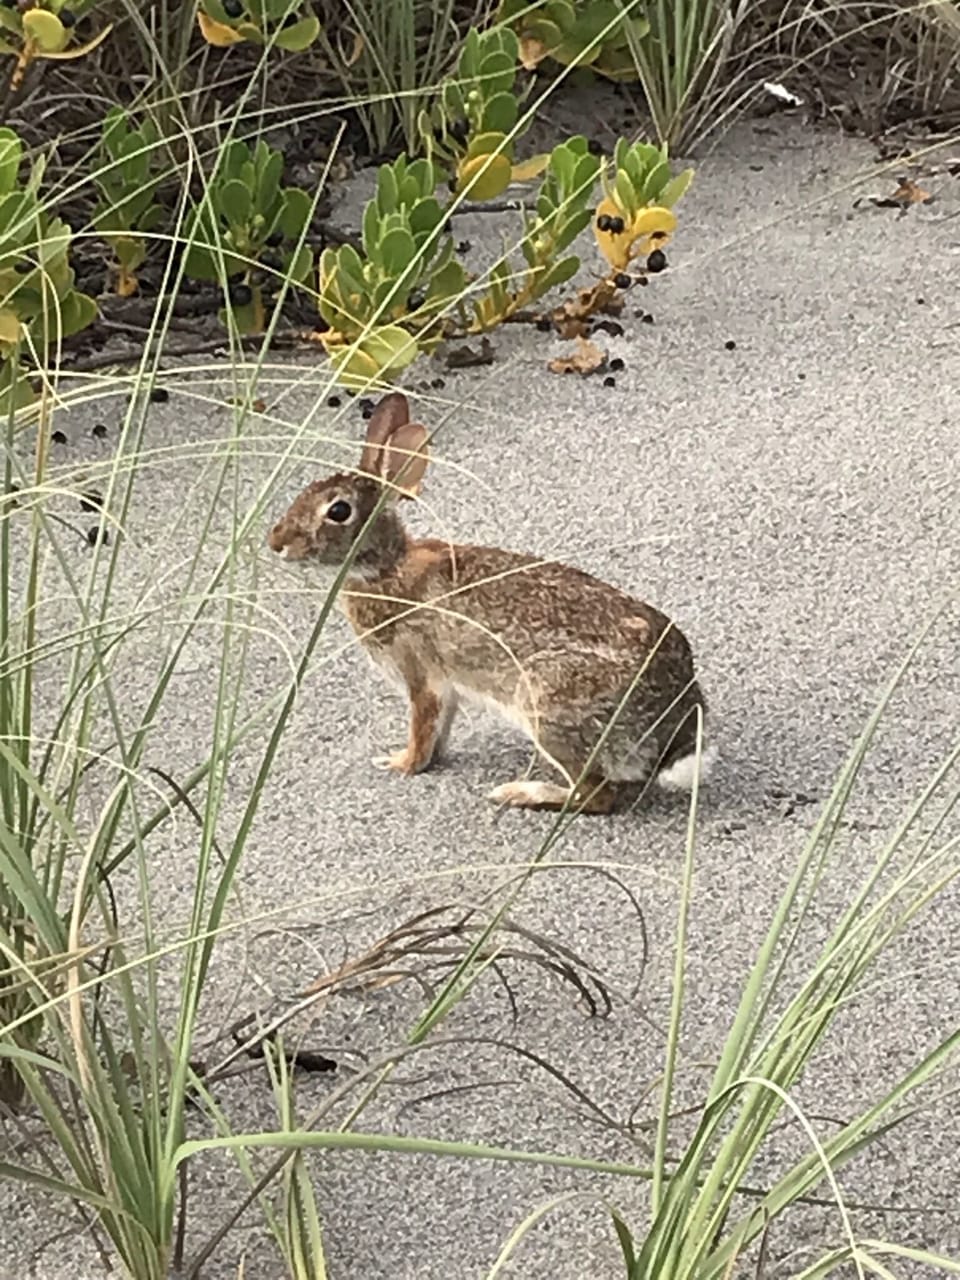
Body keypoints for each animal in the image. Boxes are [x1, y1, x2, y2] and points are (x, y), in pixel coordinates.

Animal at [268, 391, 713, 813]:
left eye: (338, 510)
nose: (276, 543)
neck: (385, 568)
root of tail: (674, 724)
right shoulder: (446, 690)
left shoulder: (421, 675)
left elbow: (422, 730)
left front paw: (401, 763)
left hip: (546, 705)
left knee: (596, 796)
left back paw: (522, 793)